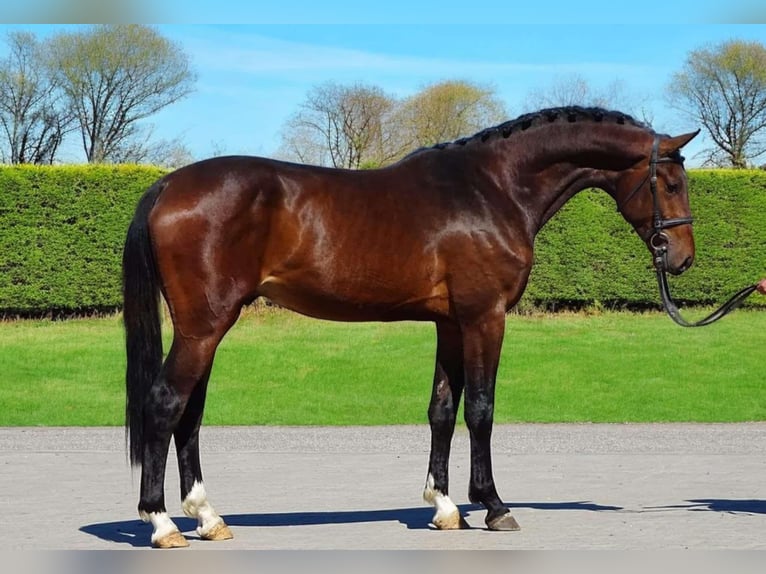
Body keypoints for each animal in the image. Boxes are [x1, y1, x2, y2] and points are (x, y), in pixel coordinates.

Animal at [124, 106, 704, 552]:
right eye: (673, 183)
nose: (681, 259)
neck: (492, 189)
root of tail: (167, 184)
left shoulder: (450, 323)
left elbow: (442, 409)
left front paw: (444, 507)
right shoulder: (485, 316)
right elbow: (481, 408)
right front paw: (493, 505)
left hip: (206, 328)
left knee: (190, 414)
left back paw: (207, 518)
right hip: (204, 327)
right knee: (166, 404)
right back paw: (161, 523)